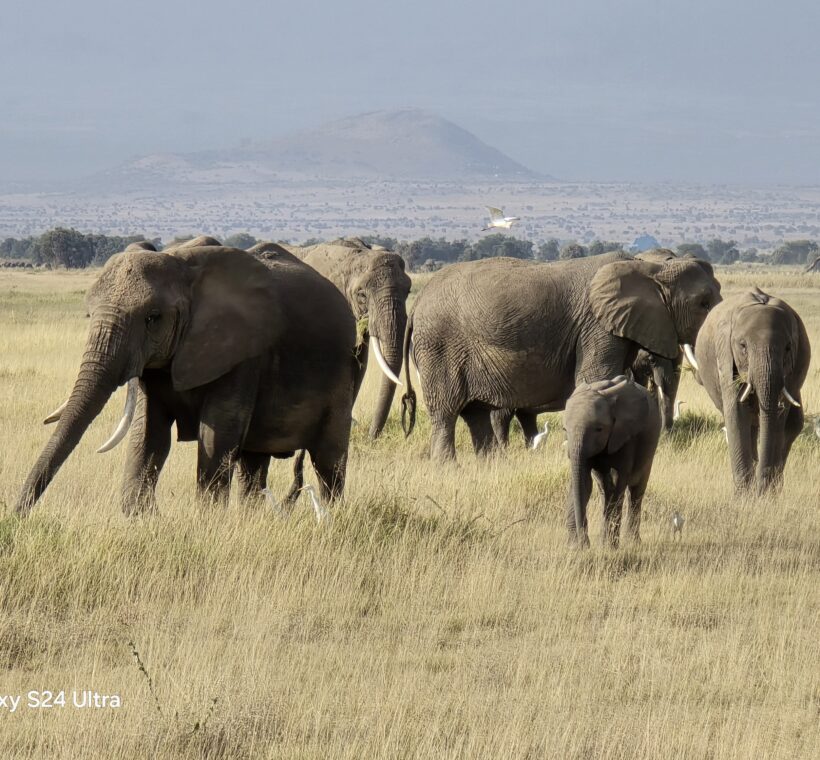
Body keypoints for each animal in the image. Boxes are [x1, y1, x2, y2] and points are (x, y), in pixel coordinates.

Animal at [16, 245, 357, 515]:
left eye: (153, 318)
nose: (17, 515)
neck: (183, 265)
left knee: (329, 460)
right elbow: (148, 432)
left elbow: (216, 435)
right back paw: (253, 517)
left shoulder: (244, 353)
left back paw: (333, 516)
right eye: (89, 315)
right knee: (253, 464)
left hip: (345, 374)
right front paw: (143, 517)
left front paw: (207, 520)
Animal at [401, 251, 721, 462]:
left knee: (475, 413)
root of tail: (416, 306)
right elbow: (595, 378)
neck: (649, 268)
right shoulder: (596, 326)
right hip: (439, 347)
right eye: (703, 303)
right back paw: (448, 466)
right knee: (446, 411)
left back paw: (490, 464)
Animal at [564, 376, 661, 547]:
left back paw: (631, 542)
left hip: (650, 448)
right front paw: (576, 547)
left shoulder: (626, 436)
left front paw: (609, 547)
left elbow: (618, 479)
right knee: (605, 489)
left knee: (636, 491)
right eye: (565, 430)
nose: (583, 543)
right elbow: (584, 482)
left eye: (599, 429)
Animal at [692, 288, 811, 494]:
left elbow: (778, 420)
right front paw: (745, 495)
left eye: (788, 348)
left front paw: (765, 493)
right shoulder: (725, 356)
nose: (761, 488)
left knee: (792, 425)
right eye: (743, 346)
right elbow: (736, 413)